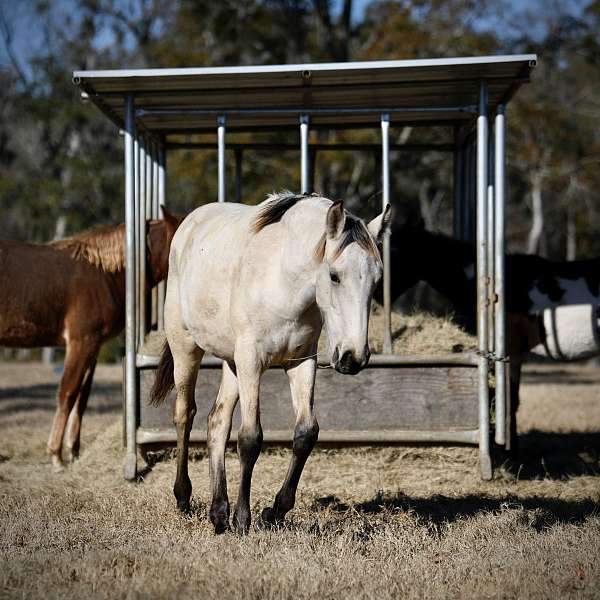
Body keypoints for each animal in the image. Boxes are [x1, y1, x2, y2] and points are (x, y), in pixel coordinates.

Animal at [0, 209, 183, 472]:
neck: (105, 273)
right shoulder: (80, 342)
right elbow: (67, 394)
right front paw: (56, 456)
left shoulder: (92, 347)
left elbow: (81, 398)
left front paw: (73, 452)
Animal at [151, 192, 390, 536]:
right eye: (334, 275)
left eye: (376, 280)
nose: (352, 357)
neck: (283, 280)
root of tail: (189, 224)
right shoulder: (252, 361)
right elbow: (251, 438)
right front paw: (244, 520)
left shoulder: (301, 363)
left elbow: (306, 433)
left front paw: (274, 512)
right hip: (187, 348)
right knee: (185, 414)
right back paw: (184, 497)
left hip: (231, 363)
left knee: (217, 421)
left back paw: (218, 511)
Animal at [384, 220, 600, 454]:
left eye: (393, 252)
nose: (378, 298)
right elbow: (511, 400)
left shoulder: (511, 351)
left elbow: (510, 400)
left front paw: (510, 450)